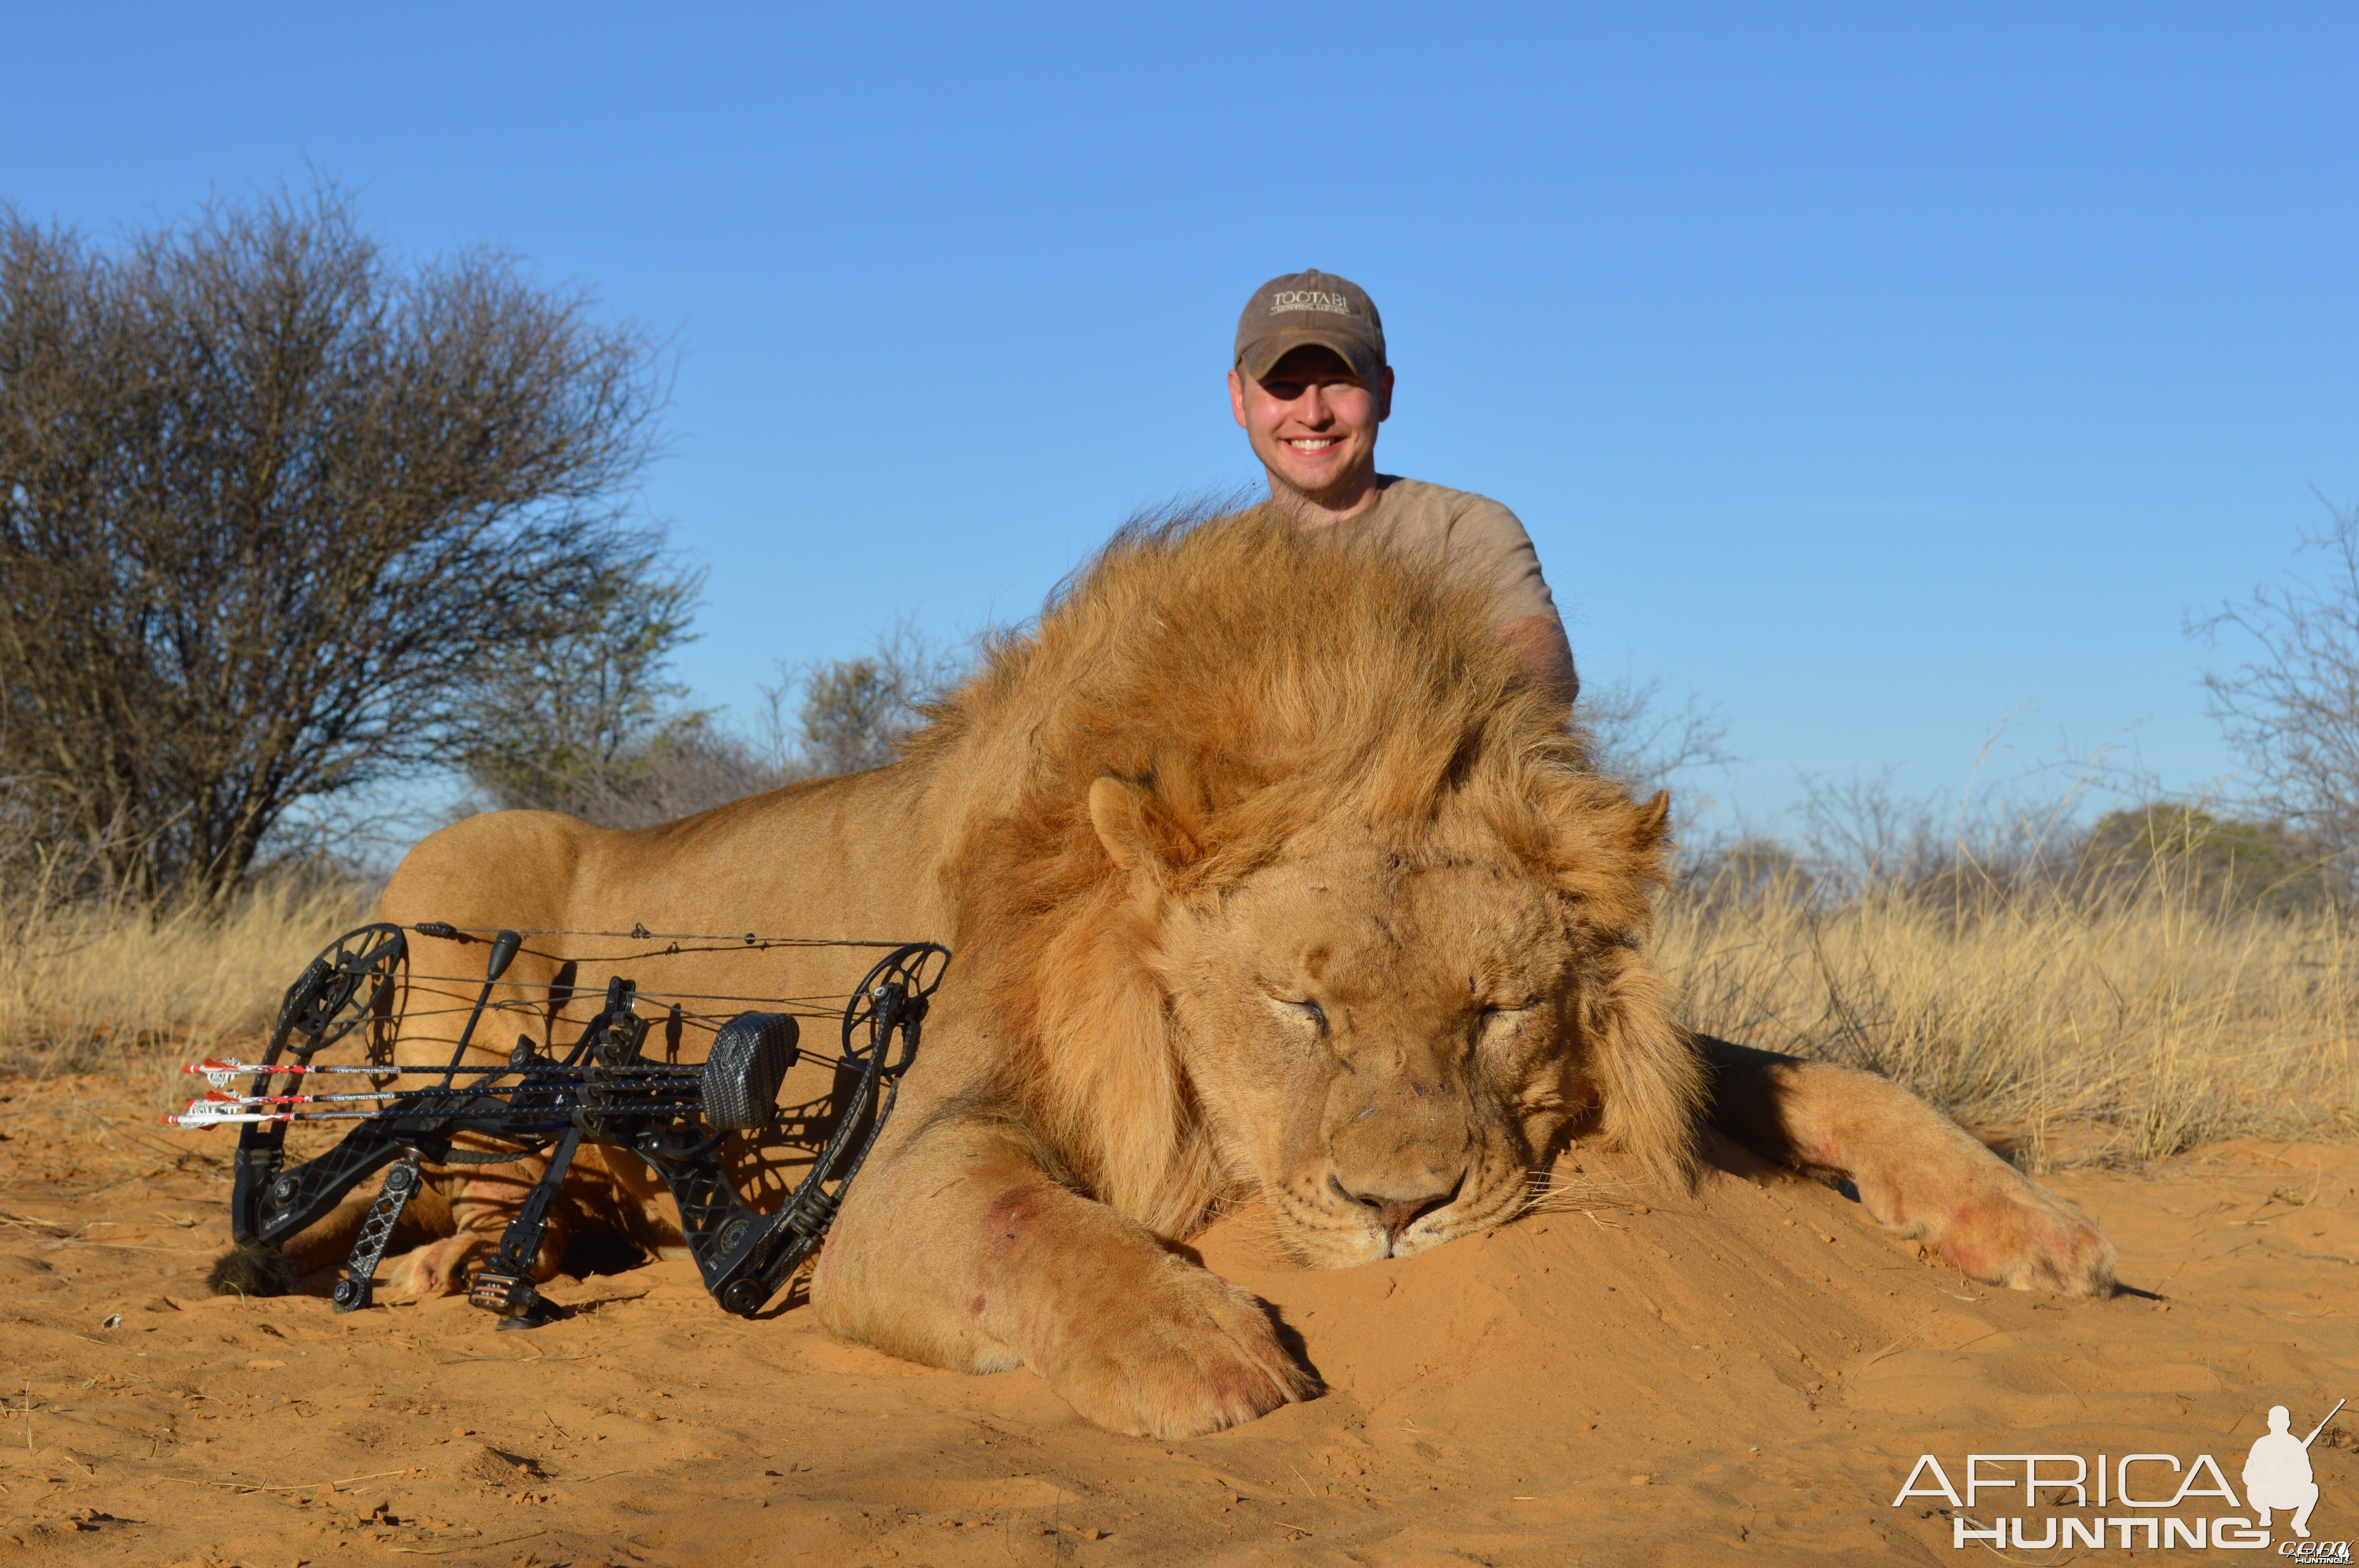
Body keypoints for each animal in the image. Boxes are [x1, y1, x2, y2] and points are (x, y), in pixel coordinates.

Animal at [244, 512, 2123, 1434]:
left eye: (1497, 1010)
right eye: (1299, 1004)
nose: (1398, 1210)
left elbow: (1813, 1073)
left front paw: (2027, 1225)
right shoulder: (893, 1164)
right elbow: (1023, 1213)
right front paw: (1202, 1351)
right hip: (457, 870)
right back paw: (457, 1257)